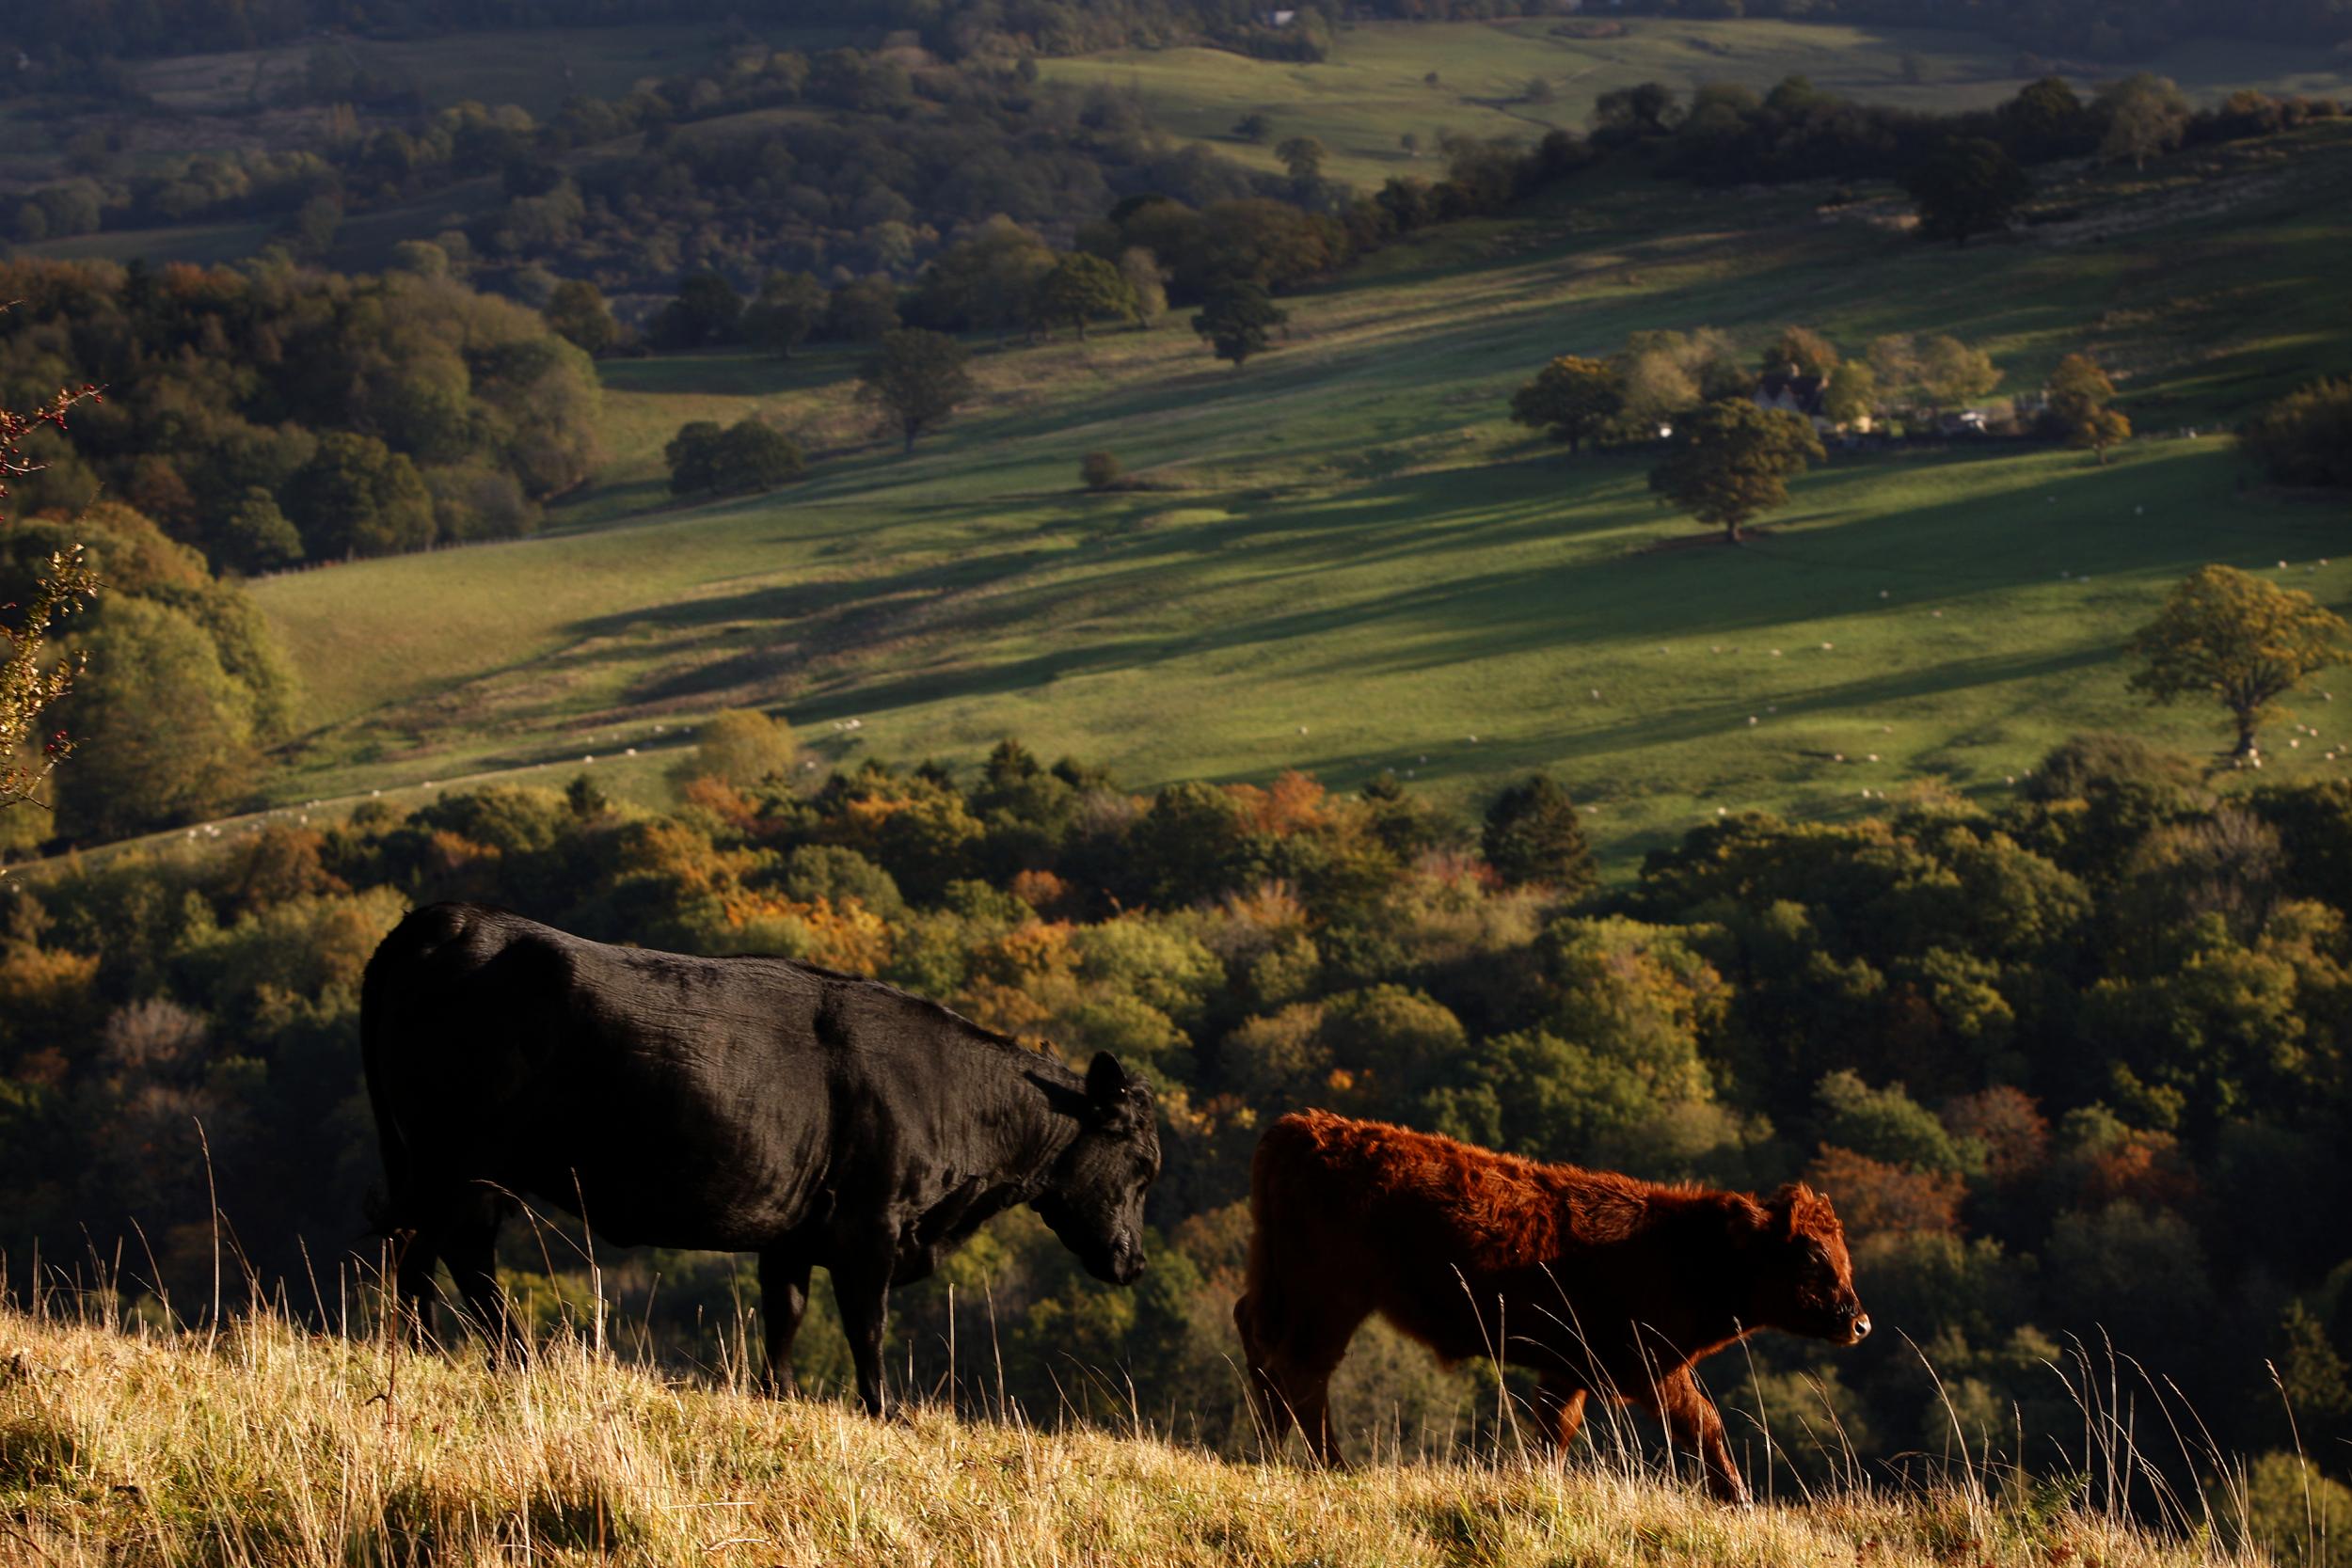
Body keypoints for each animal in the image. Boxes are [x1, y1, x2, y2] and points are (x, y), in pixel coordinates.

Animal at [362, 902, 1162, 1419]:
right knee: (445, 1250)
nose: (1136, 1262)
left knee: (430, 1250)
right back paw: (480, 1354)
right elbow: (866, 1322)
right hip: (460, 1158)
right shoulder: (870, 1225)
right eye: (1143, 1165)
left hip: (438, 1160)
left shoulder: (793, 1228)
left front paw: (778, 1394)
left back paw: (444, 1352)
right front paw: (885, 1409)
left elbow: (786, 1314)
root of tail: (441, 918)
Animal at [1232, 1109, 1872, 1504]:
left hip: (1280, 1283)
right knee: (1302, 1371)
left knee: (1262, 1347)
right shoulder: (1651, 1367)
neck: (1681, 1250)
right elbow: (1704, 1426)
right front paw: (1738, 1500)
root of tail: (1301, 1128)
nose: (1859, 1321)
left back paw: (1271, 1452)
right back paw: (1335, 1468)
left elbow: (1553, 1433)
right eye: (1813, 1257)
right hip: (1329, 1298)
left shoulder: (1568, 1371)